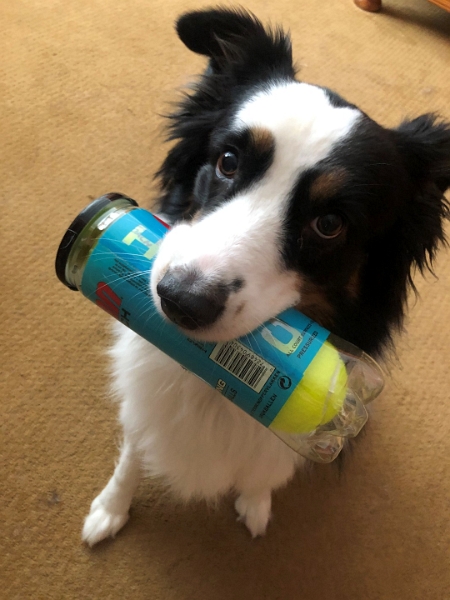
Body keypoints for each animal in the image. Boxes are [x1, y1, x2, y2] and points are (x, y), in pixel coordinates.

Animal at [82, 8, 450, 545]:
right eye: (227, 162)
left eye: (329, 224)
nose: (179, 299)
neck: (209, 377)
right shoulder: (142, 408)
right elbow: (132, 453)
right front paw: (110, 508)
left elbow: (262, 475)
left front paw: (255, 505)